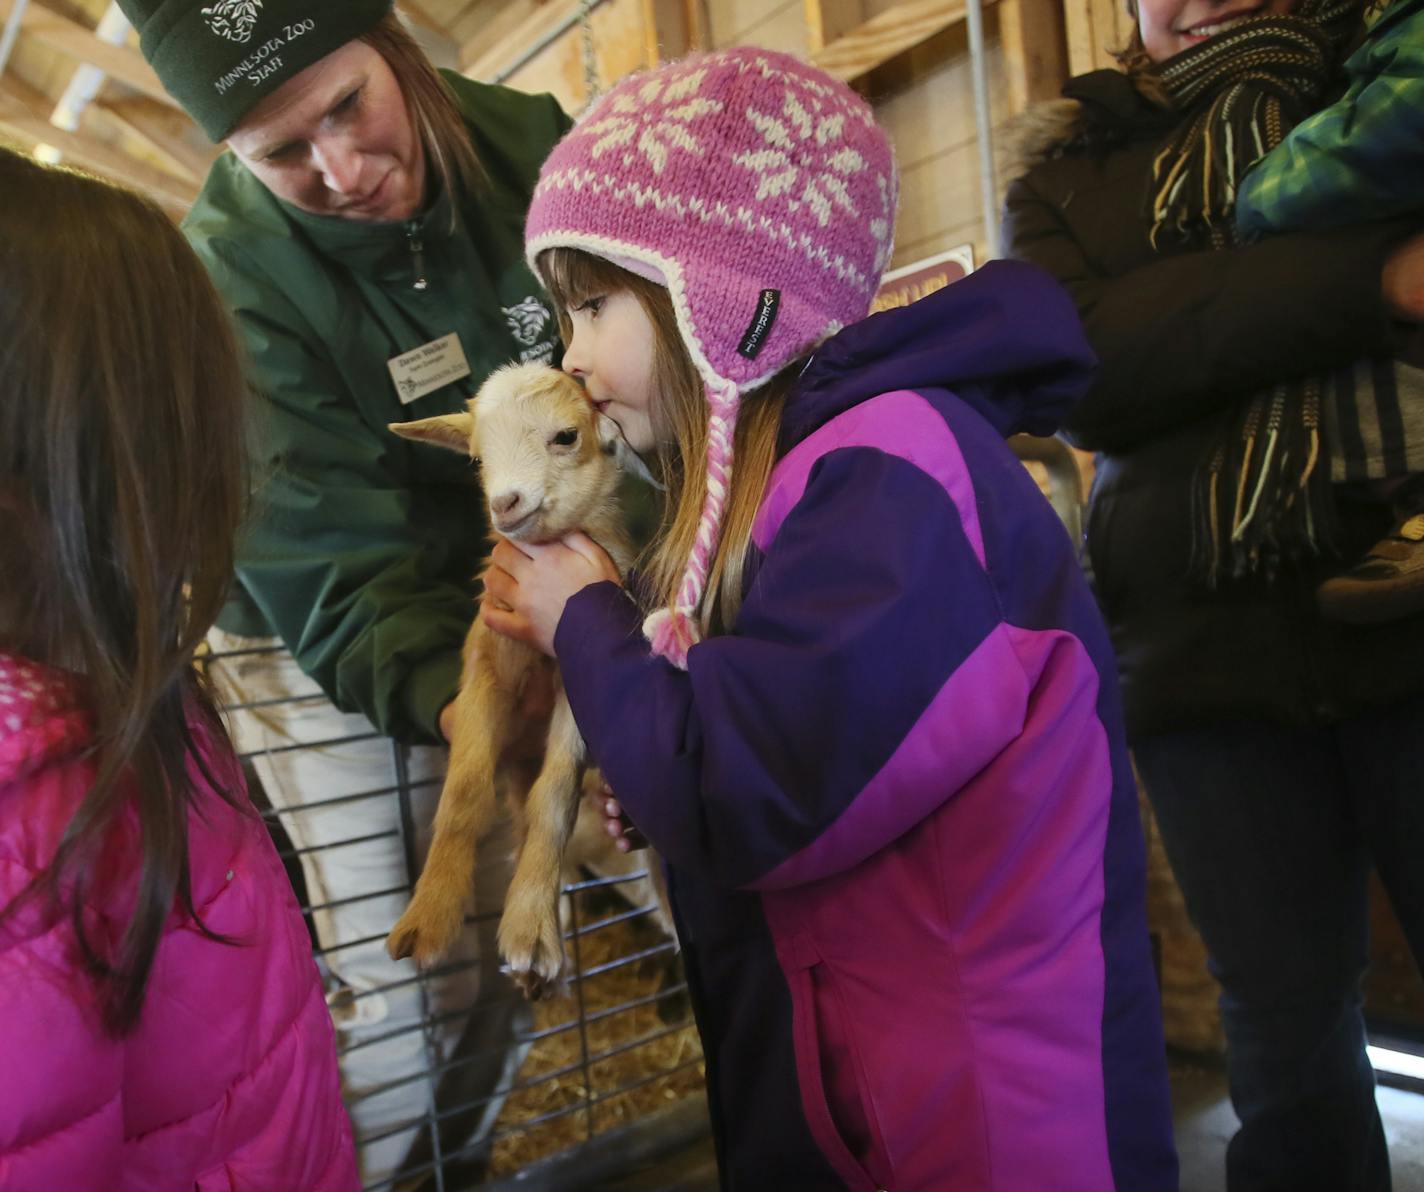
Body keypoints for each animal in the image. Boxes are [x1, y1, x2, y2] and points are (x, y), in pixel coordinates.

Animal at [384, 363, 640, 996]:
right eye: (477, 459)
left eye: (566, 436)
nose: (505, 503)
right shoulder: (486, 669)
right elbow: (463, 792)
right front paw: (429, 915)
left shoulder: (578, 685)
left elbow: (556, 795)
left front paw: (531, 933)